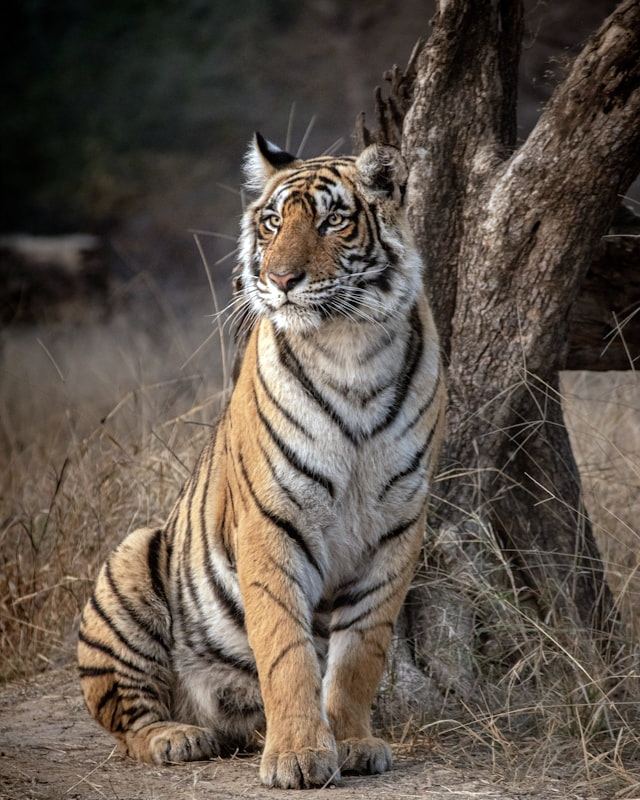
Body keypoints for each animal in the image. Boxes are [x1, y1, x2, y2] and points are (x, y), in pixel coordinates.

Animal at [77, 132, 445, 790]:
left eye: (332, 221)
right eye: (273, 223)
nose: (281, 278)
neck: (351, 350)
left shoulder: (397, 527)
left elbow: (361, 653)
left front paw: (352, 742)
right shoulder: (273, 520)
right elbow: (285, 649)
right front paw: (299, 755)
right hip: (130, 562)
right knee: (127, 722)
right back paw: (178, 736)